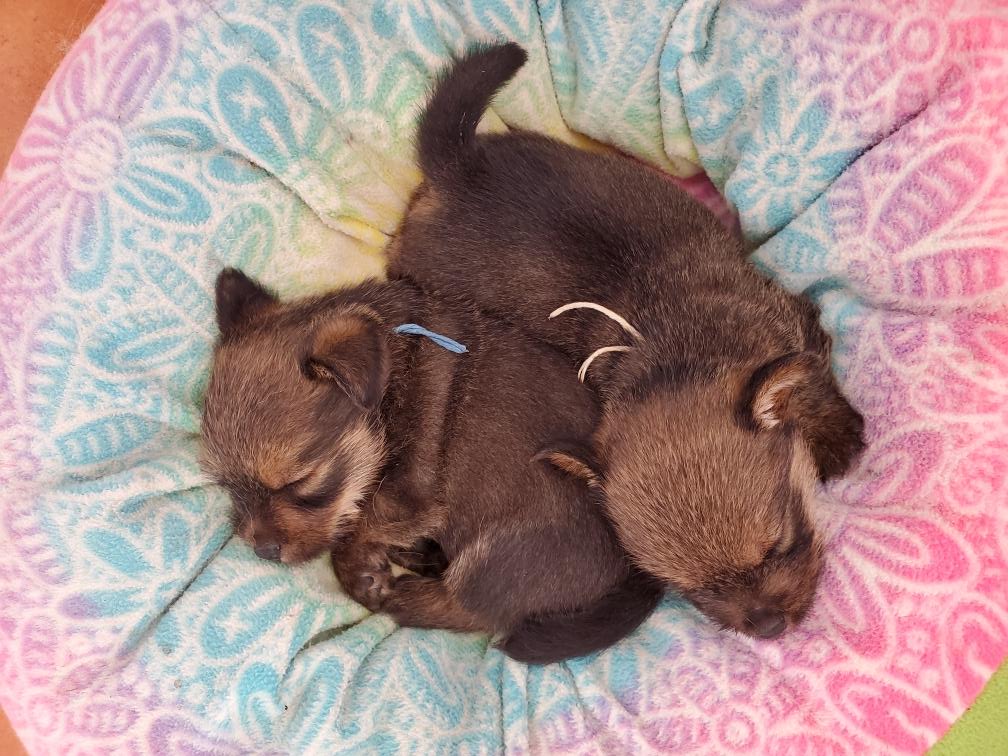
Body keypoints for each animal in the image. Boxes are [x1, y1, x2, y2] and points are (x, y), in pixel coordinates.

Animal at [200, 268, 662, 663]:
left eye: (301, 482)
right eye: (225, 483)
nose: (262, 550)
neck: (389, 379)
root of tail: (635, 569)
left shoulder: (406, 494)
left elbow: (358, 523)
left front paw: (358, 571)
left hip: (498, 554)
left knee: (474, 613)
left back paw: (405, 597)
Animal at [386, 42, 866, 639]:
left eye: (779, 544)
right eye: (691, 589)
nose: (768, 625)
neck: (677, 355)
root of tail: (457, 168)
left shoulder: (793, 328)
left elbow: (812, 386)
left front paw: (837, 439)